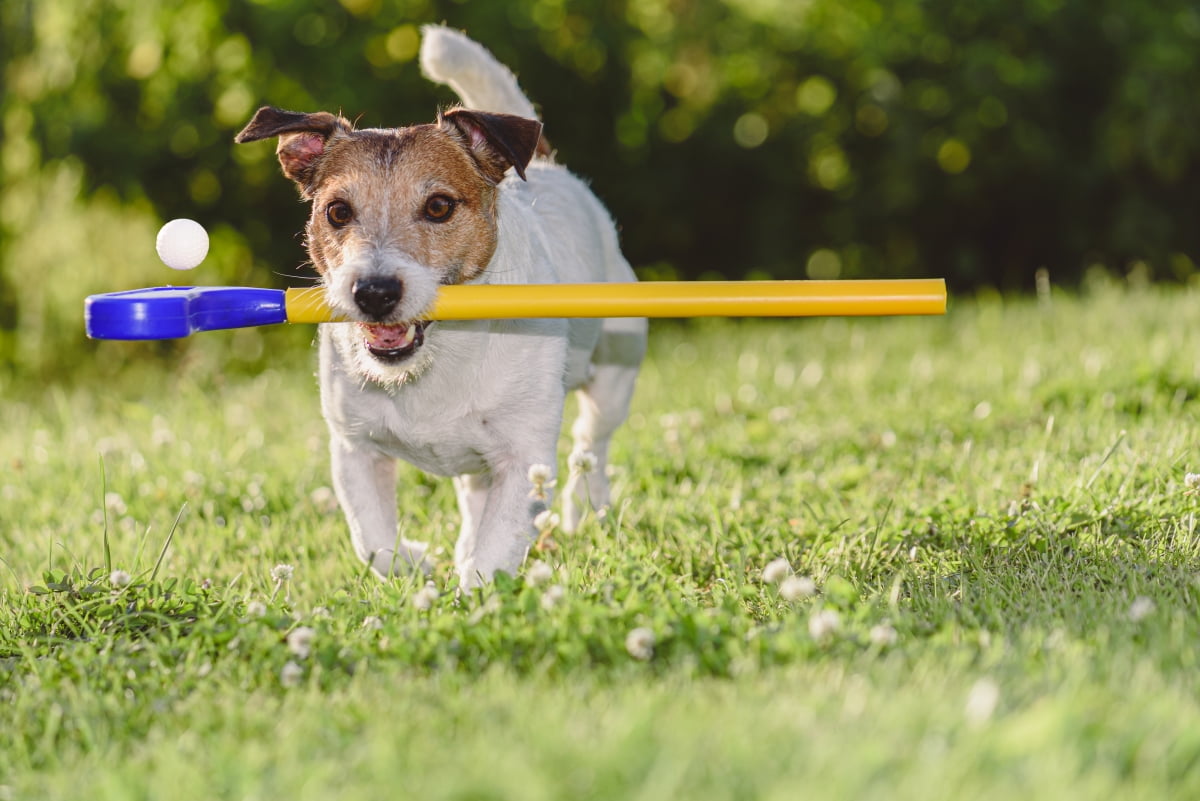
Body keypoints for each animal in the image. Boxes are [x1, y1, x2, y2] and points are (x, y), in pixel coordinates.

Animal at [235, 26, 648, 587]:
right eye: (337, 211)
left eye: (438, 206)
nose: (375, 292)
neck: (438, 359)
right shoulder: (354, 448)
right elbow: (372, 538)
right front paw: (413, 563)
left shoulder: (524, 458)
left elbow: (493, 554)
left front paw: (472, 593)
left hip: (615, 369)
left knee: (592, 445)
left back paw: (586, 506)